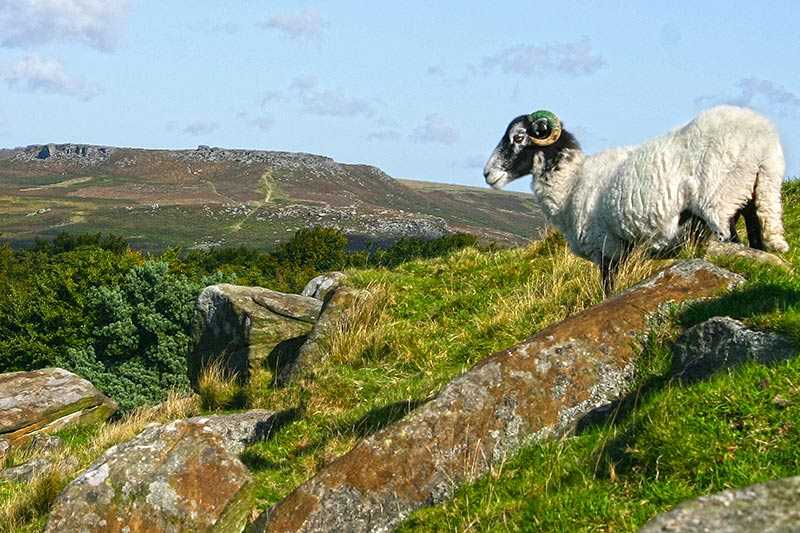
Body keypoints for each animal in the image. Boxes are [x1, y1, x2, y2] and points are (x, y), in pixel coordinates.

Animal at [484, 105, 792, 294]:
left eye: (519, 137)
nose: (488, 174)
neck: (572, 184)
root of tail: (764, 141)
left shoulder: (608, 249)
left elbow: (608, 289)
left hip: (720, 202)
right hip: (752, 193)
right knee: (755, 240)